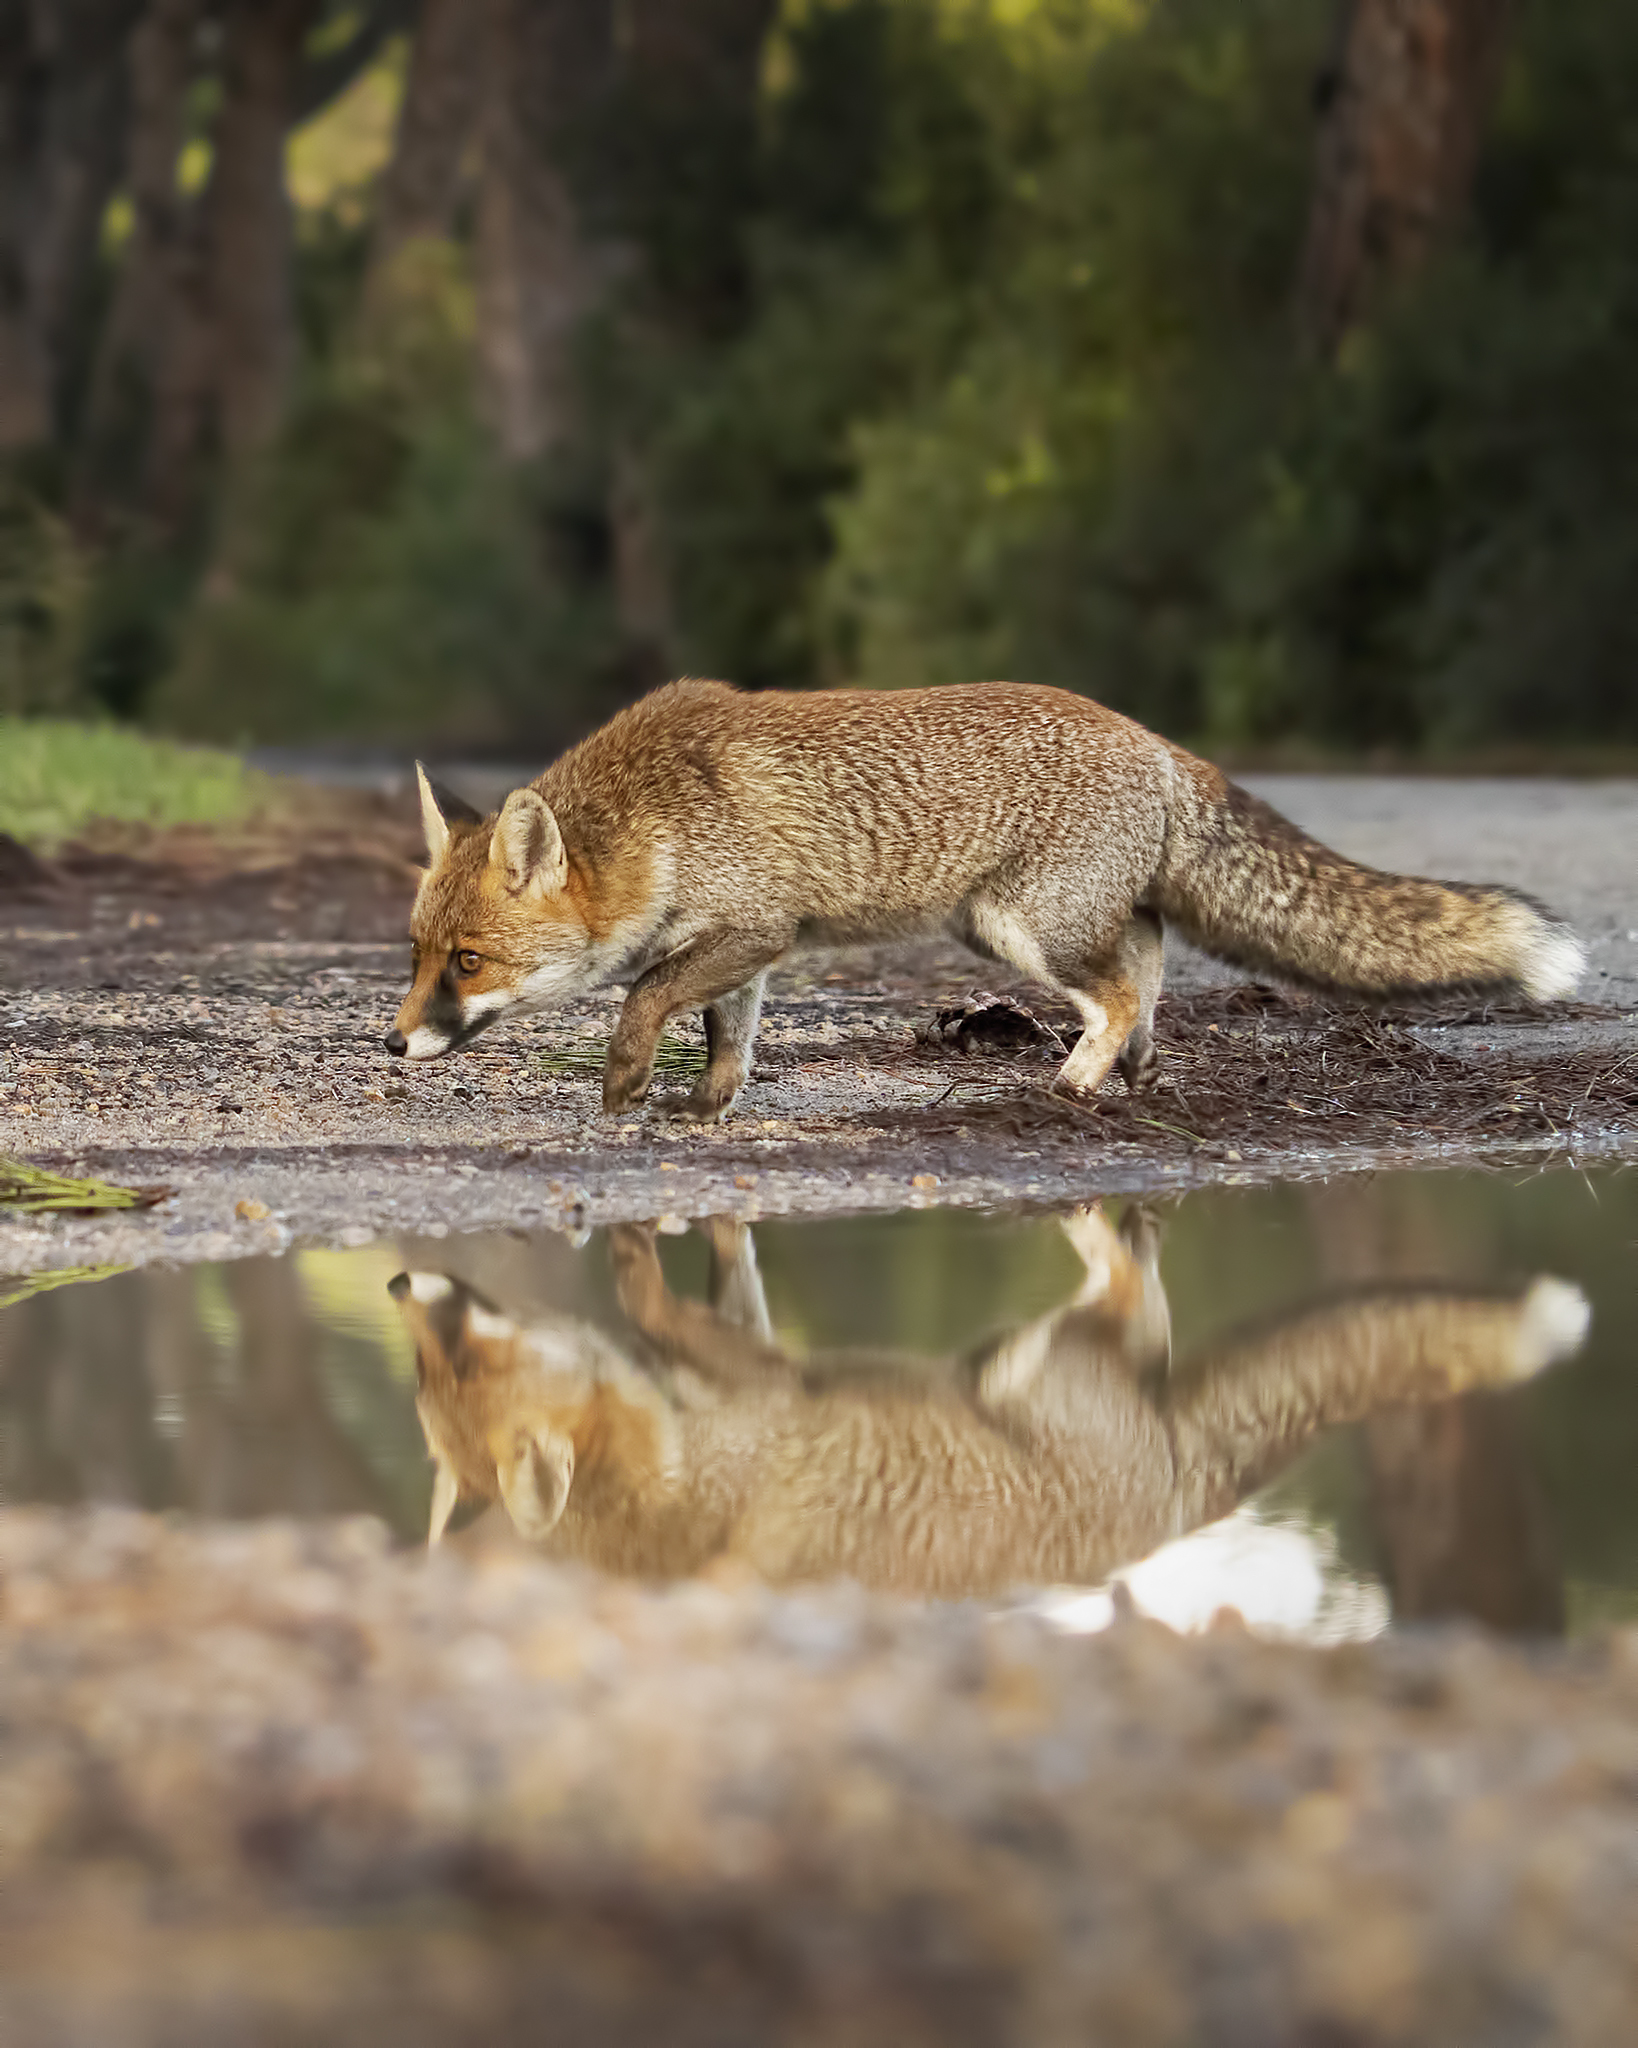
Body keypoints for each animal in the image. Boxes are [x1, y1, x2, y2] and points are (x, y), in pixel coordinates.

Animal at [385, 679, 1585, 1119]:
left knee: (1118, 988)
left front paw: (625, 1089)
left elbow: (642, 999)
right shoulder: (749, 944)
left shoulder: (756, 924)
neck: (658, 821)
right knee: (1149, 960)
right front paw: (709, 1105)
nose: (391, 1043)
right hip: (1023, 921)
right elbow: (728, 1033)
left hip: (1022, 929)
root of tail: (1156, 740)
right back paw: (1136, 1074)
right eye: (414, 954)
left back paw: (1076, 1081)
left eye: (469, 962)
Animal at [389, 1208, 1589, 1600]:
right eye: (420, 1372)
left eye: (460, 1357)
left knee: (1126, 1300)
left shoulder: (760, 1384)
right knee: (1141, 1313)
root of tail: (1167, 1515)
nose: (398, 1284)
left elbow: (659, 1300)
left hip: (1027, 1370)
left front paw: (638, 1256)